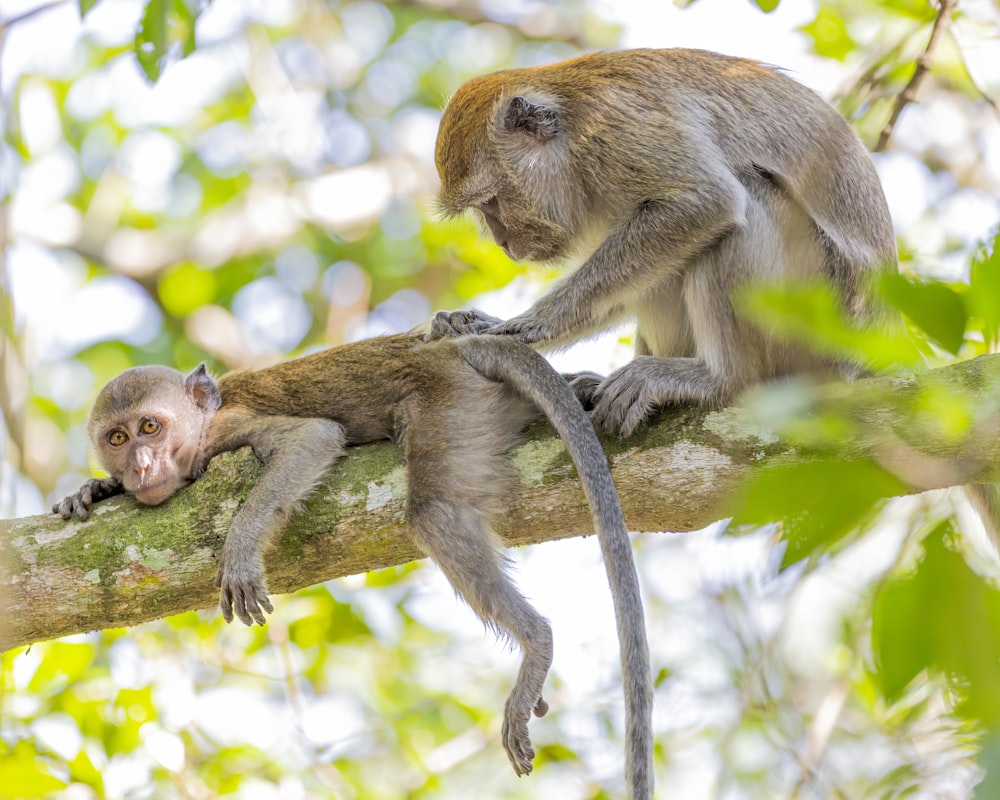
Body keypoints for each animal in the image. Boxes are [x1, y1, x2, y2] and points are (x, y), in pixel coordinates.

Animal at [52, 332, 656, 800]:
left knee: (435, 512)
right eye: (118, 438)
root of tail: (449, 348)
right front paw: (94, 489)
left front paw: (241, 548)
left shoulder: (226, 433)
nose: (140, 464)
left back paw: (535, 641)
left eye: (150, 428)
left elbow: (311, 438)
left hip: (448, 399)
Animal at [426, 48, 896, 438]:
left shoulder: (614, 129)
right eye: (482, 210)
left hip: (818, 315)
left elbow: (705, 201)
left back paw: (721, 378)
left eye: (492, 202)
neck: (572, 135)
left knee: (746, 197)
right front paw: (481, 324)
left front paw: (536, 323)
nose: (503, 241)